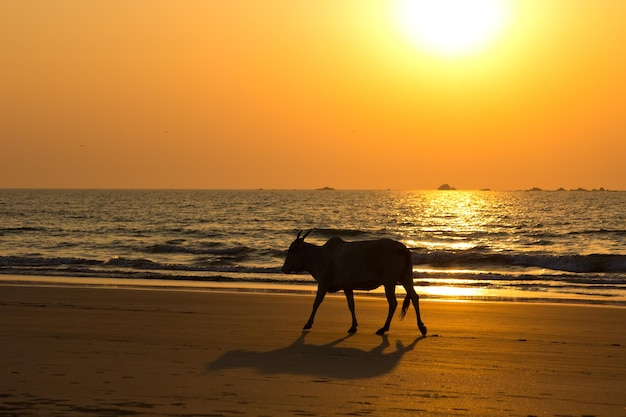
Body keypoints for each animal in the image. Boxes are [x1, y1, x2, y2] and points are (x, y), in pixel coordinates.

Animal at [282, 229, 424, 336]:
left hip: (389, 282)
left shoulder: (323, 283)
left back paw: (384, 328)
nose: (283, 268)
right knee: (414, 297)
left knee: (393, 303)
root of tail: (403, 248)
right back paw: (421, 327)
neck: (320, 256)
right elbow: (351, 305)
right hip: (406, 278)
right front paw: (353, 326)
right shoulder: (347, 286)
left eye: (291, 250)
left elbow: (316, 303)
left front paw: (308, 323)